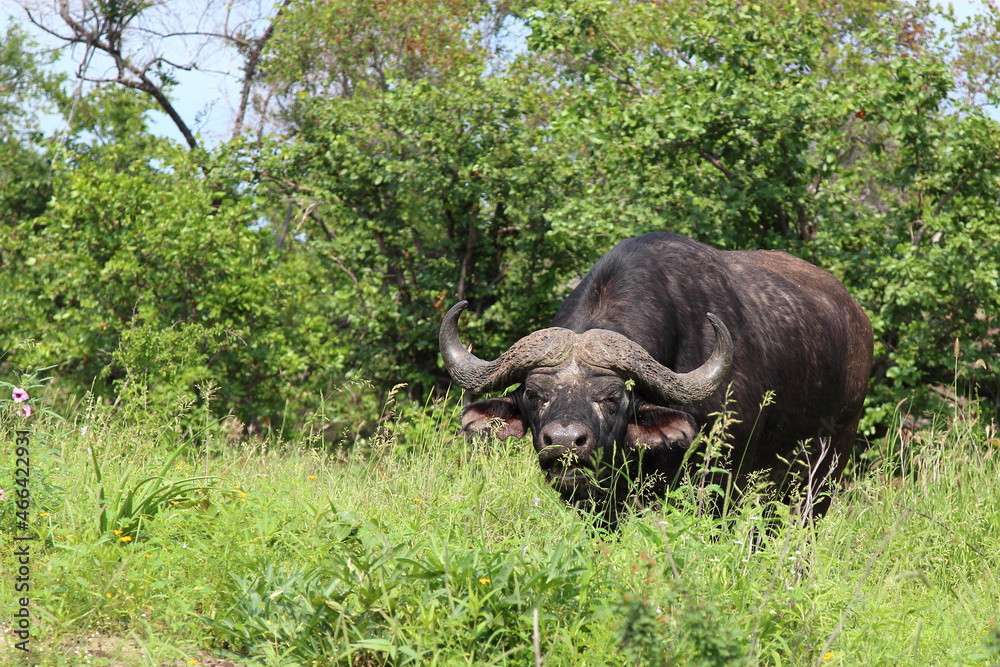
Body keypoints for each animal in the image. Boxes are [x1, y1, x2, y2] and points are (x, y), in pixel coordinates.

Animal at [440, 233, 873, 528]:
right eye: (533, 394)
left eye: (613, 397)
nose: (564, 442)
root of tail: (858, 320)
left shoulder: (721, 482)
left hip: (825, 466)